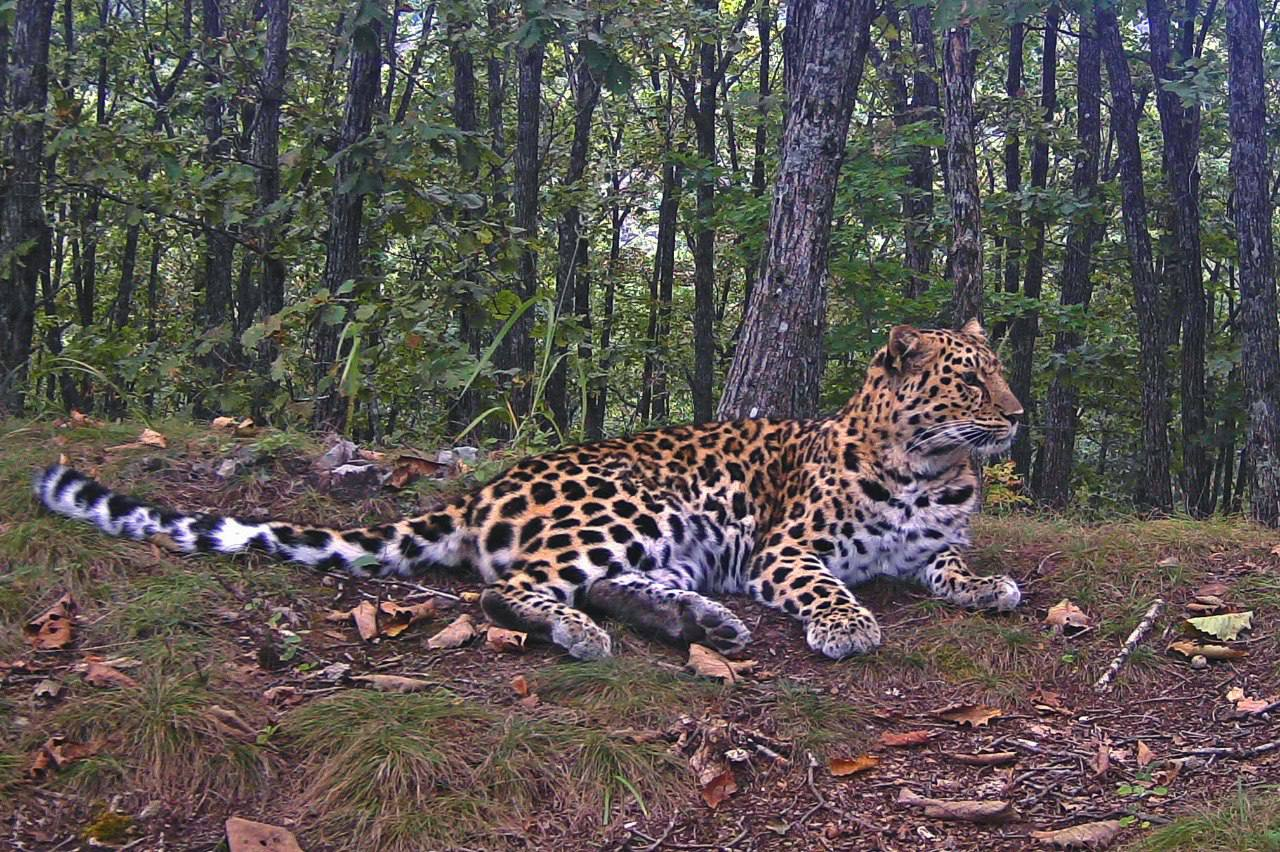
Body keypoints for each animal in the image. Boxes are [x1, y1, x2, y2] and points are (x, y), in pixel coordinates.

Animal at [35, 318, 1024, 654]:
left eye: (1000, 375)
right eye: (970, 382)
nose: (1016, 417)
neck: (927, 467)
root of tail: (483, 491)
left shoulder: (933, 542)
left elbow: (950, 566)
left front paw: (990, 586)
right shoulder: (787, 548)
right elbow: (827, 584)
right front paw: (848, 625)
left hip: (679, 539)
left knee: (615, 586)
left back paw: (696, 621)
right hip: (637, 503)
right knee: (513, 585)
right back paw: (586, 633)